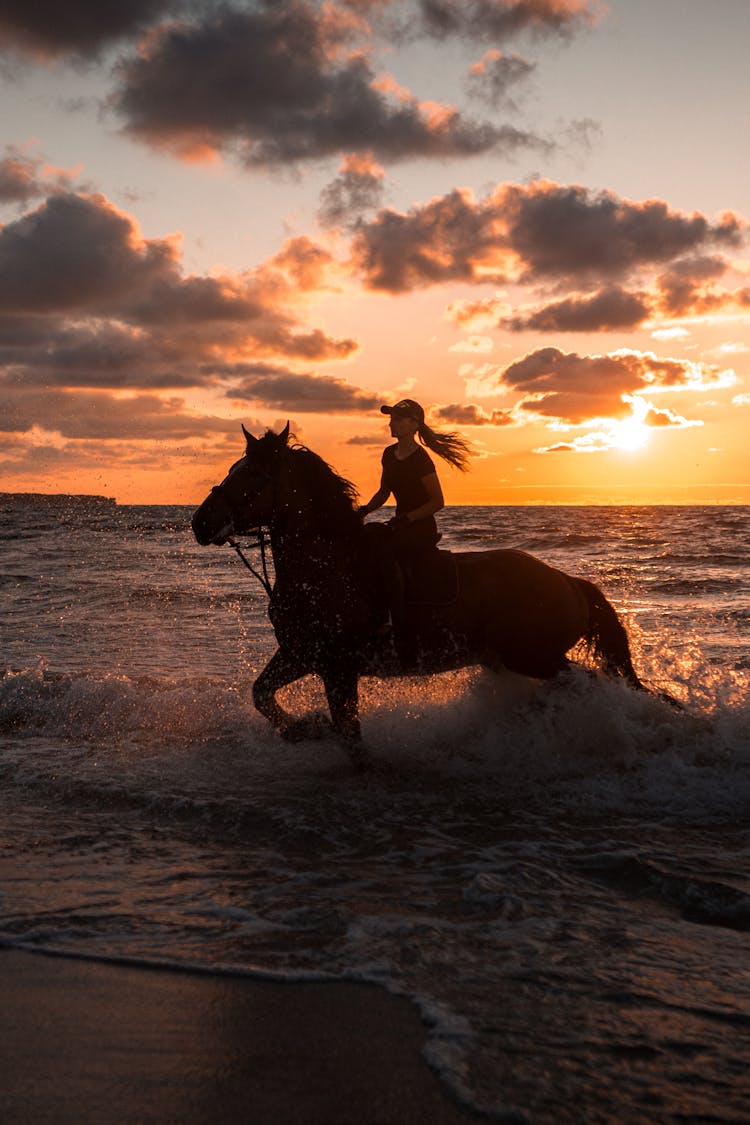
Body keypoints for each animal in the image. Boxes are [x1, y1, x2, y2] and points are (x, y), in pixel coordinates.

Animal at [192, 423, 647, 765]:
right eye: (234, 467)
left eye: (252, 474)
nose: (200, 522)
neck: (326, 567)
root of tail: (568, 581)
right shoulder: (301, 653)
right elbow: (261, 694)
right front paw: (305, 728)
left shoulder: (338, 666)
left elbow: (350, 736)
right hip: (512, 659)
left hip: (534, 656)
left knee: (589, 683)